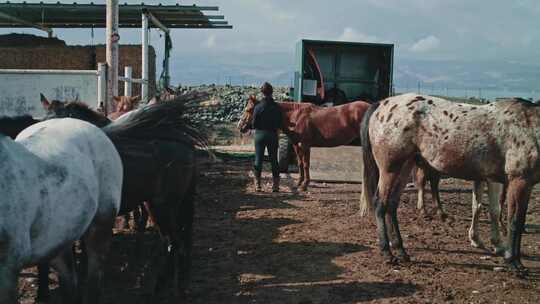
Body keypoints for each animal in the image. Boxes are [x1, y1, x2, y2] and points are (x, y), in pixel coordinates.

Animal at [239, 95, 372, 190]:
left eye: (248, 110)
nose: (240, 126)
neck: (296, 116)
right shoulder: (296, 145)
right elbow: (300, 163)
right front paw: (299, 182)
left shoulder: (305, 145)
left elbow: (306, 164)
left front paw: (305, 185)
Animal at [360, 91, 536, 274]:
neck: (529, 125)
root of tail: (380, 105)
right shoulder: (518, 181)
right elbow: (514, 221)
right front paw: (513, 262)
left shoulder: (522, 184)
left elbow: (515, 219)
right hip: (390, 169)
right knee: (380, 204)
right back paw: (387, 253)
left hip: (405, 166)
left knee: (392, 205)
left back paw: (401, 251)